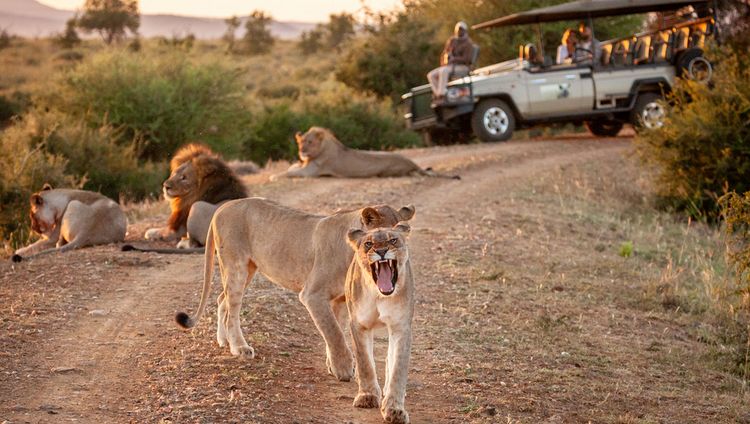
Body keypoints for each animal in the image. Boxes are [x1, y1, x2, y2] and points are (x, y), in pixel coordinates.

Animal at [176, 197, 414, 382]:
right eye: (385, 237)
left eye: (400, 237)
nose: (393, 253)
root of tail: (222, 207)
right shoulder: (312, 294)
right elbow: (334, 333)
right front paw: (344, 369)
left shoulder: (338, 299)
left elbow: (335, 329)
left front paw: (332, 364)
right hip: (236, 266)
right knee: (232, 309)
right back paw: (239, 347)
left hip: (249, 268)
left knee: (221, 299)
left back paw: (223, 340)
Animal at [270, 125, 458, 180]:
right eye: (300, 142)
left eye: (309, 142)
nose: (301, 151)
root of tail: (412, 162)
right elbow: (292, 168)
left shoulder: (310, 172)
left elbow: (289, 173)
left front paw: (273, 176)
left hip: (389, 171)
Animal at [348, 224, 418, 422]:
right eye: (368, 244)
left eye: (393, 240)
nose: (381, 251)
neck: (380, 295)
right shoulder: (359, 325)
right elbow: (365, 362)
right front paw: (368, 396)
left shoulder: (401, 328)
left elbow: (398, 368)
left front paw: (394, 409)